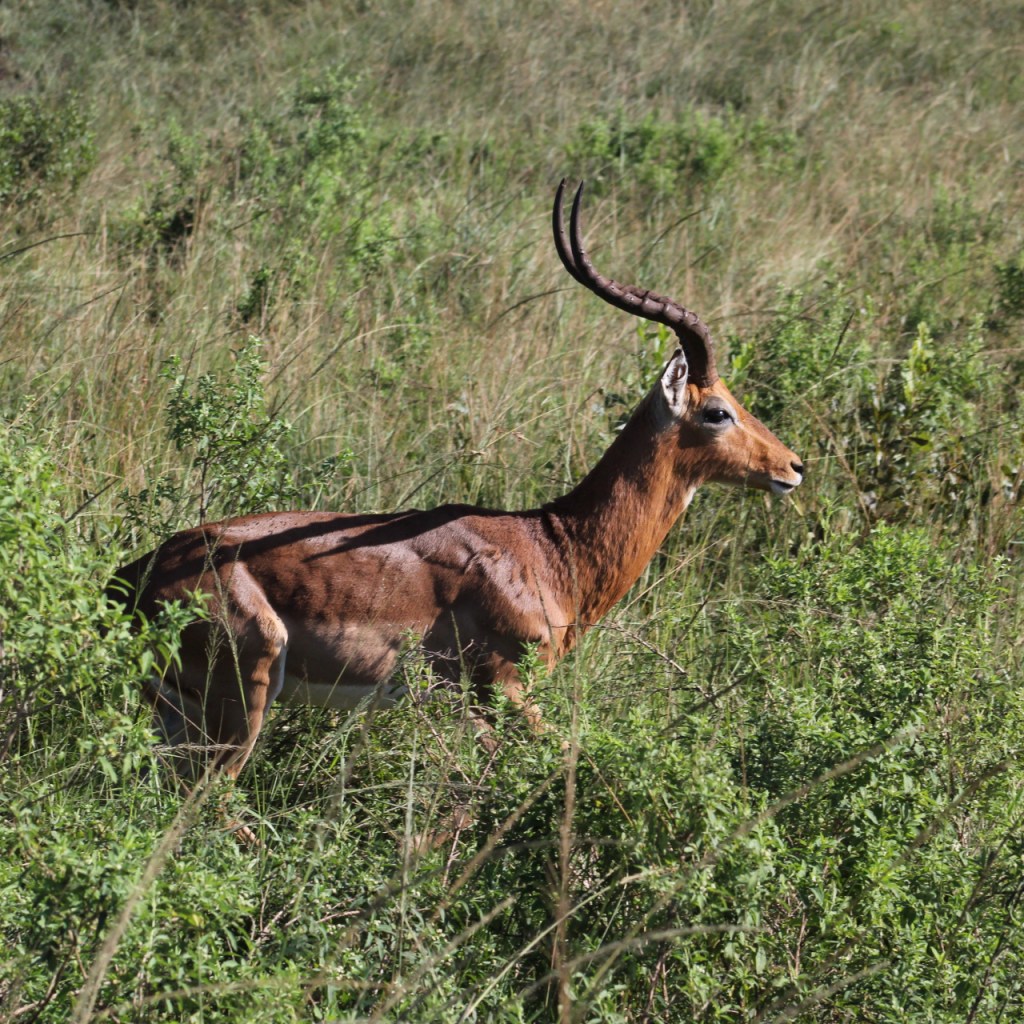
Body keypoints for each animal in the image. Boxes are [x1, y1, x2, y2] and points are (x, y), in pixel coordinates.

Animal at [111, 181, 804, 790]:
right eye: (717, 410)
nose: (793, 467)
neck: (551, 548)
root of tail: (134, 578)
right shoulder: (503, 689)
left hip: (180, 715)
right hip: (242, 704)